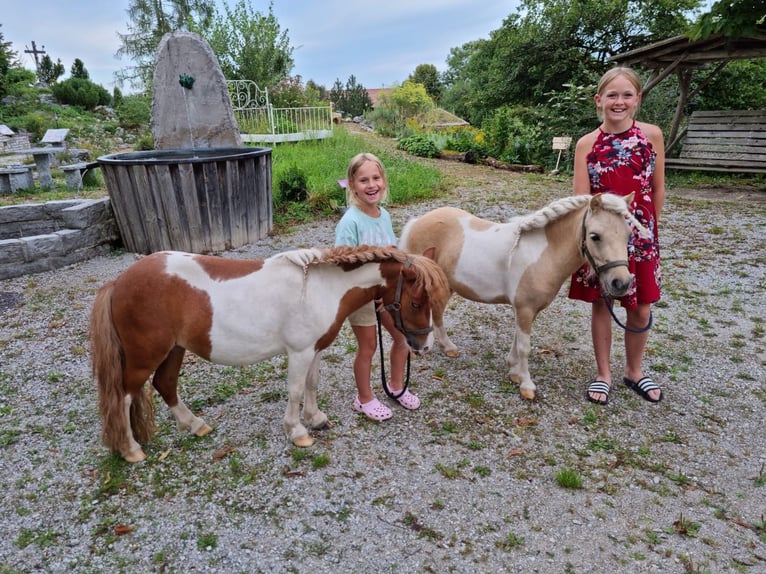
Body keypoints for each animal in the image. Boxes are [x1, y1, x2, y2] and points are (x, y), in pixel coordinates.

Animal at [91, 246, 452, 464]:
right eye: (416, 302)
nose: (423, 346)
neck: (321, 288)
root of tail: (118, 283)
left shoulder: (314, 350)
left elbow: (312, 385)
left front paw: (316, 419)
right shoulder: (299, 352)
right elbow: (295, 390)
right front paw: (297, 432)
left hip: (174, 350)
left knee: (165, 385)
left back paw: (196, 426)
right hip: (144, 357)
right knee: (123, 396)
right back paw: (132, 450)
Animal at [402, 194, 648, 400]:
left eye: (628, 235)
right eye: (595, 236)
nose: (621, 283)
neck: (543, 253)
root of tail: (417, 222)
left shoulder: (527, 310)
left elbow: (517, 340)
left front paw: (514, 371)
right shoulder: (525, 308)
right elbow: (525, 347)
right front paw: (527, 385)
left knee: (437, 312)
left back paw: (446, 347)